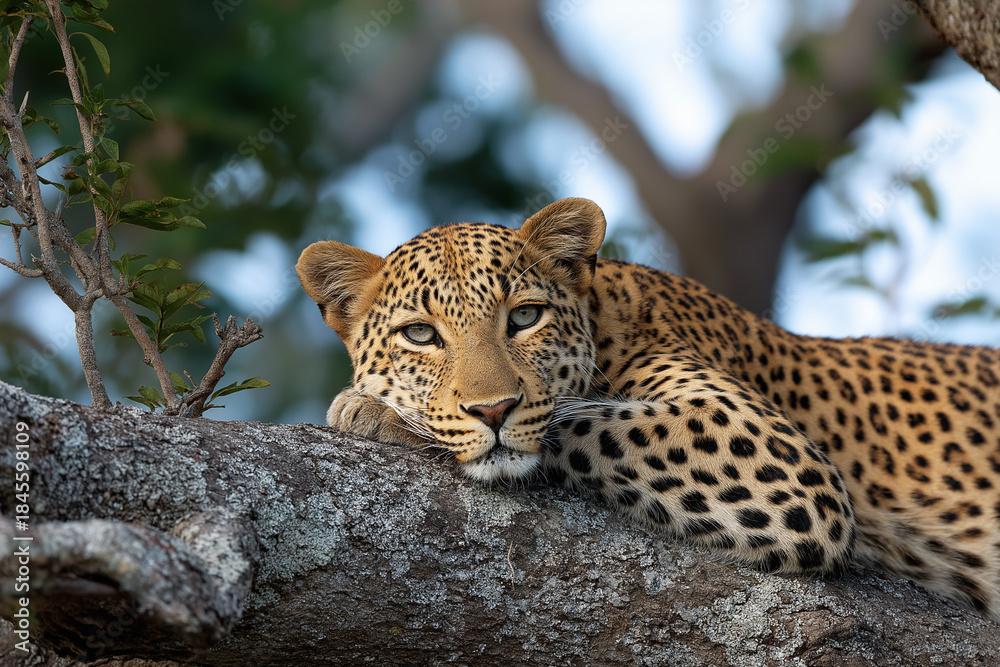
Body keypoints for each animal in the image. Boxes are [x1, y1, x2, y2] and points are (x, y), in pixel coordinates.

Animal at [296, 197, 1000, 621]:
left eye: (524, 317)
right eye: (420, 334)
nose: (492, 410)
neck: (607, 319)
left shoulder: (776, 456)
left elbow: (578, 423)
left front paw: (377, 413)